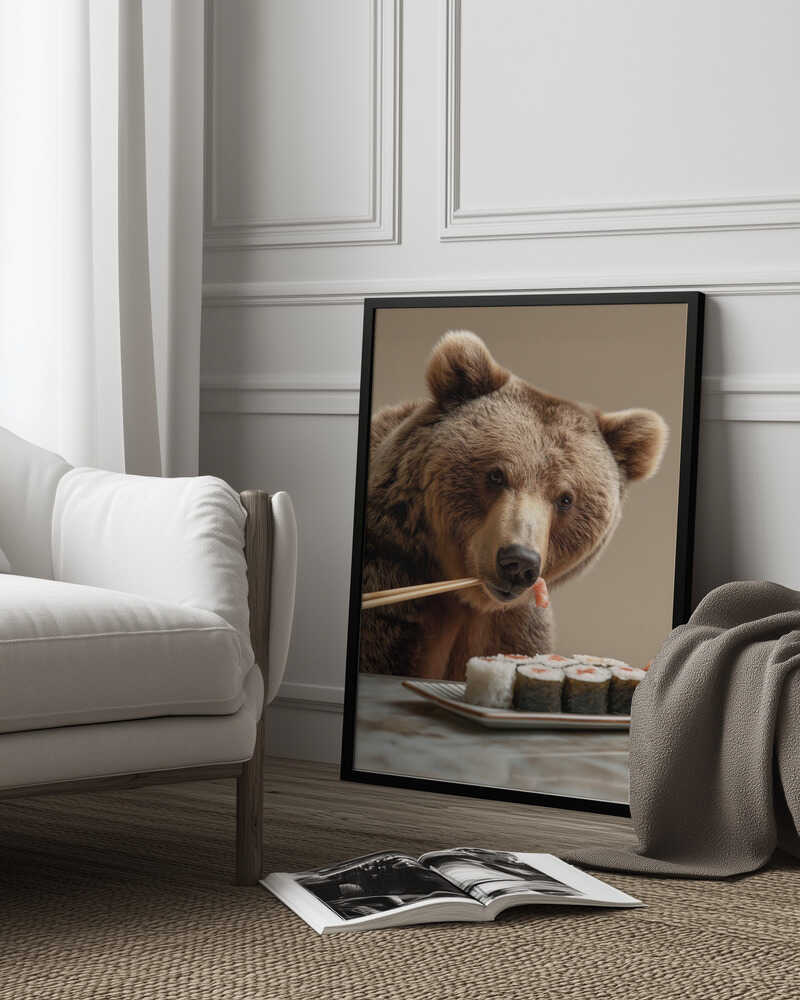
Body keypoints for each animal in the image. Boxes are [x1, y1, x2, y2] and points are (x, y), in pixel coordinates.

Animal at [358, 330, 668, 680]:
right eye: (496, 475)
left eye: (566, 498)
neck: (463, 597)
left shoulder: (511, 624)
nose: (519, 561)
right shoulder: (394, 591)